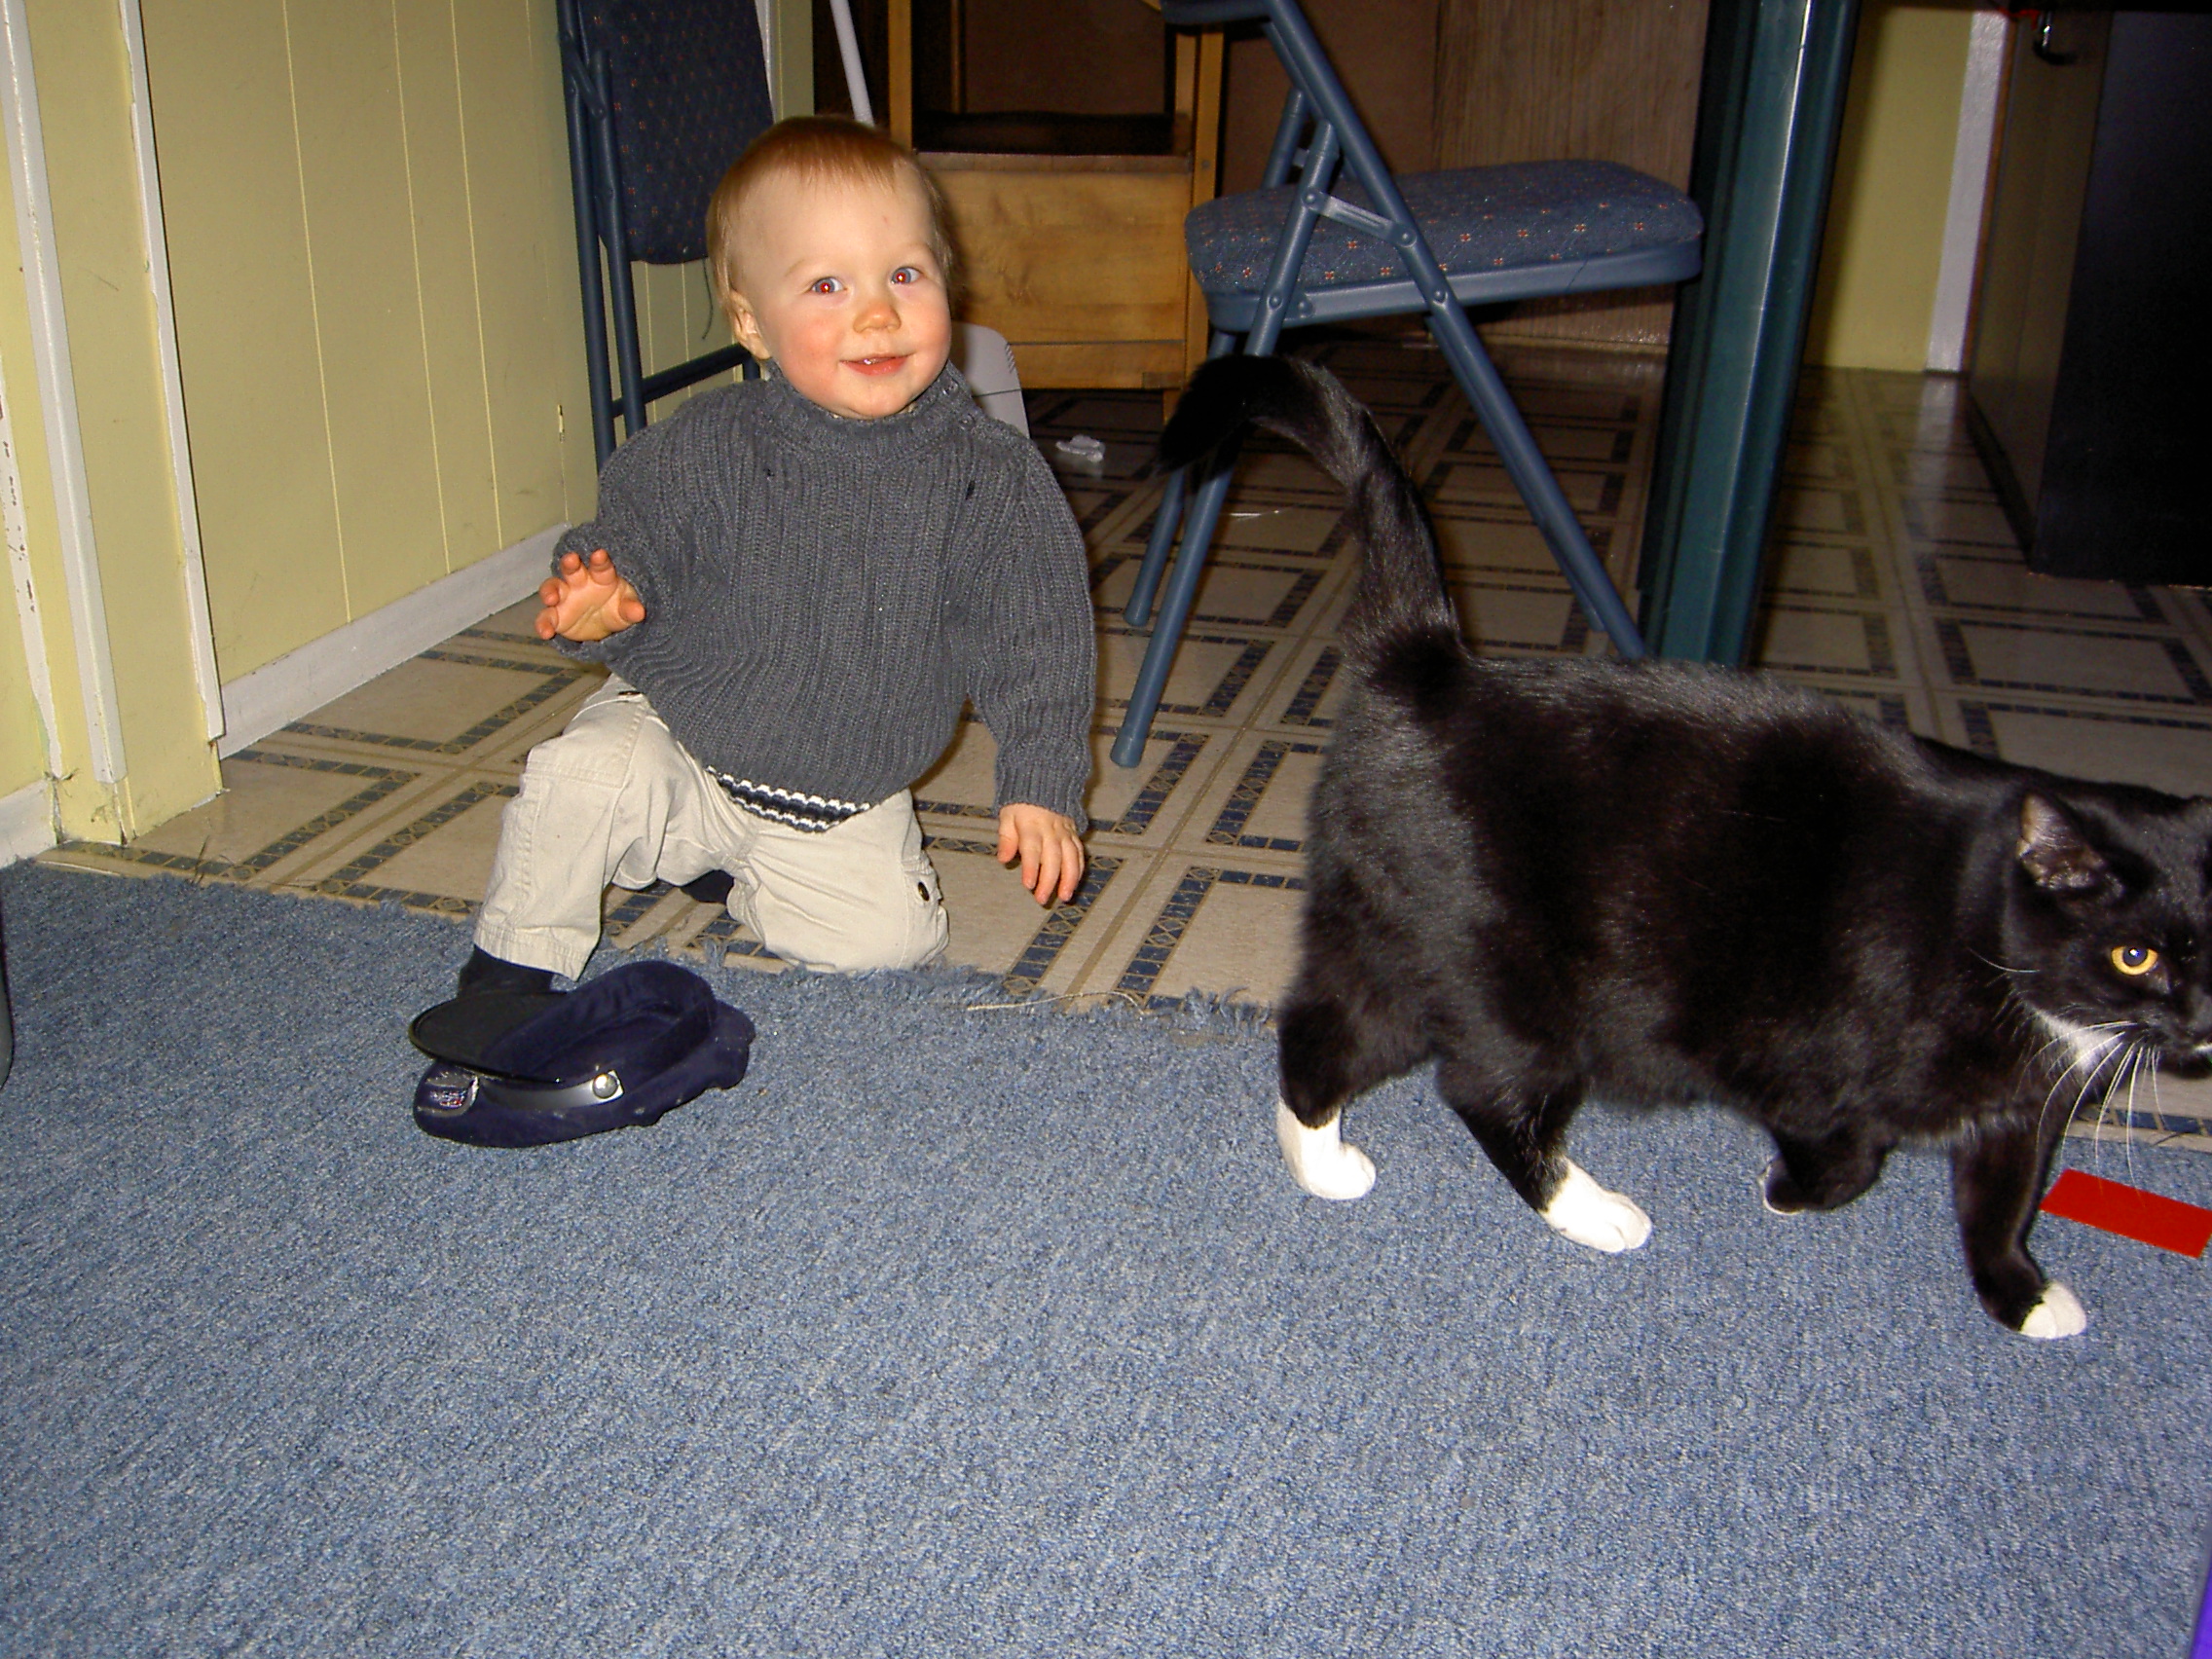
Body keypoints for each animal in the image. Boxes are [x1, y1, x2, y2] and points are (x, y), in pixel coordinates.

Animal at [1159, 353, 2212, 1340]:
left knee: (1319, 1027)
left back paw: (1321, 1161)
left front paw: (2021, 1298)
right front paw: (1787, 1189)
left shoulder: (2019, 1115)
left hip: (1390, 941)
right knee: (1479, 1086)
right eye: (2135, 953)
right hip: (1505, 981)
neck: (1981, 923)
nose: (2201, 1021)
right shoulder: (1801, 1057)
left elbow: (2000, 1203)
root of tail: (1430, 666)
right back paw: (1593, 1212)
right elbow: (1850, 1153)